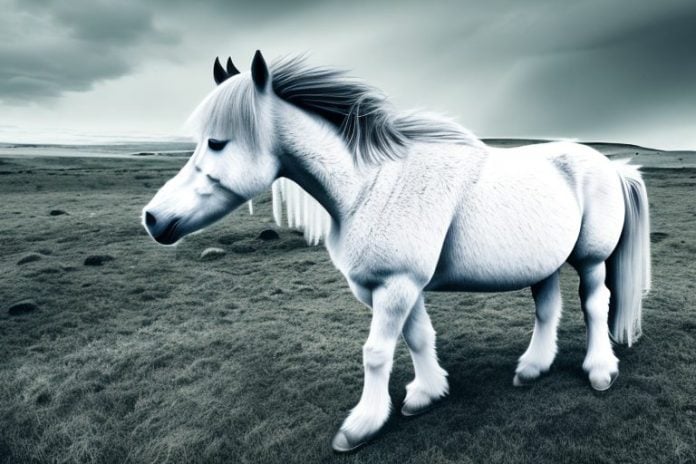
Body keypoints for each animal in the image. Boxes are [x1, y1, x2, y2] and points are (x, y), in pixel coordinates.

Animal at [142, 51, 651, 452]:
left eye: (216, 142)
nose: (153, 219)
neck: (368, 185)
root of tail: (611, 165)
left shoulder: (397, 285)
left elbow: (376, 352)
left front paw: (361, 425)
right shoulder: (393, 288)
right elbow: (418, 337)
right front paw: (427, 393)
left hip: (590, 259)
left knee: (595, 305)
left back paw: (600, 370)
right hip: (543, 262)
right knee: (547, 310)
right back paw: (531, 368)